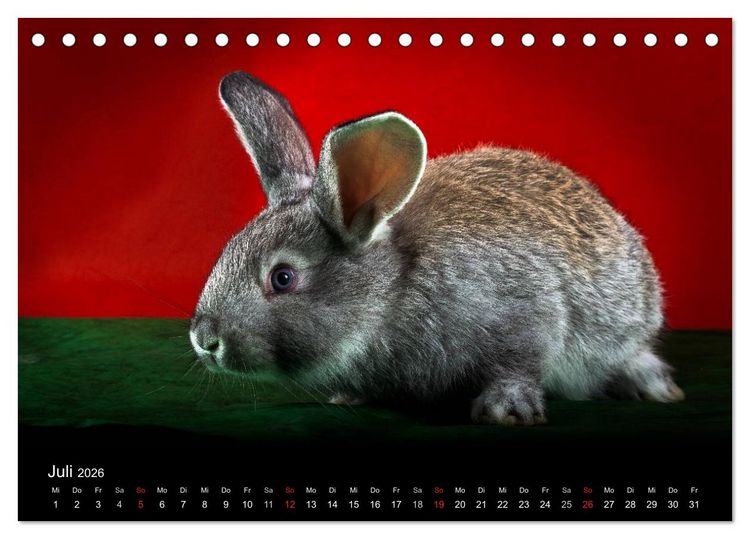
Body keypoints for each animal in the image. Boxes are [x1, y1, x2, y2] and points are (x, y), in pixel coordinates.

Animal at [190, 71, 685, 426]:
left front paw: (505, 411)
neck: (393, 289)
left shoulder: (523, 314)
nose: (204, 340)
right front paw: (350, 395)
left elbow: (518, 364)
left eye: (283, 278)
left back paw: (654, 387)